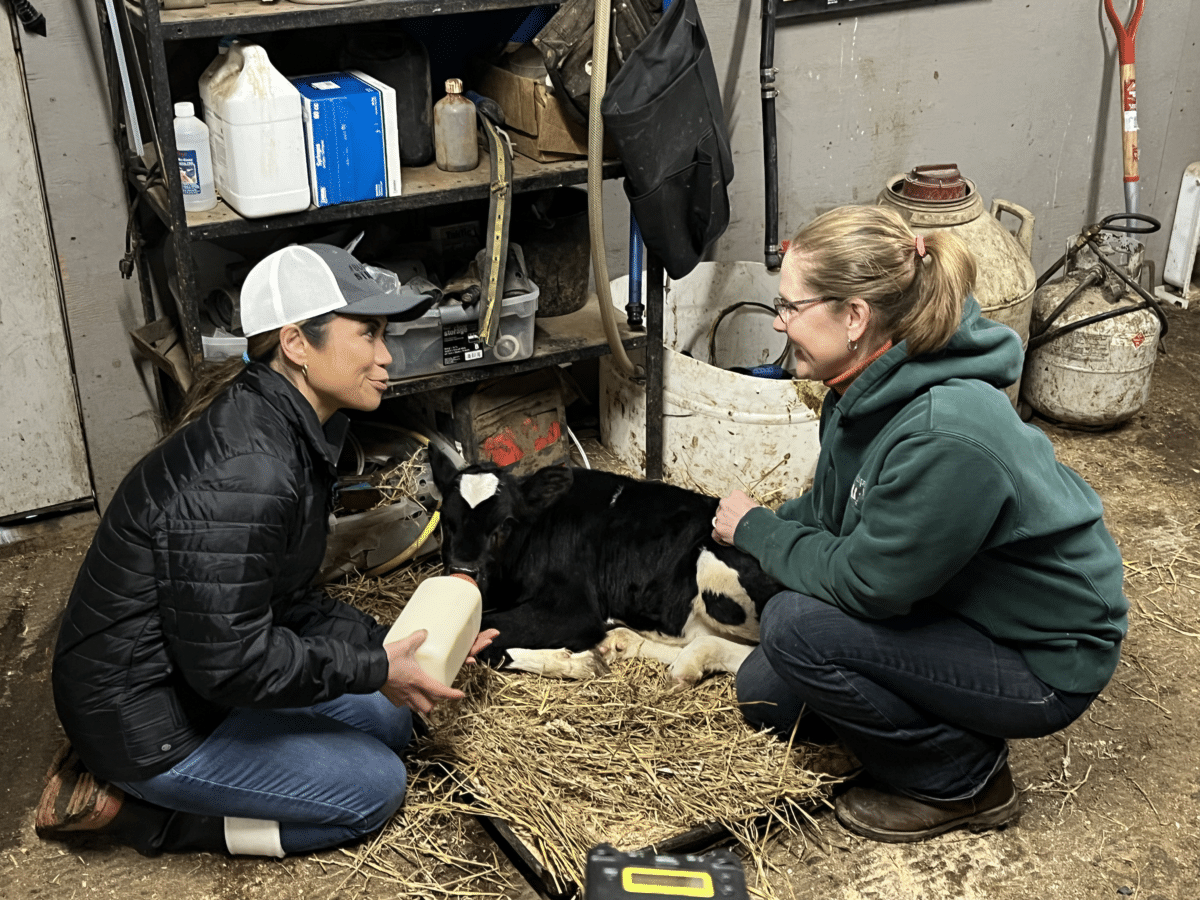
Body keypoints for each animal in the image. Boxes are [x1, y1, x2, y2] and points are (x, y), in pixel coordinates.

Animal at [432, 453, 787, 686]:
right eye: (445, 521)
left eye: (505, 524)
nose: (464, 569)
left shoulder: (572, 611)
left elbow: (485, 634)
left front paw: (577, 663)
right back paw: (622, 643)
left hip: (713, 570)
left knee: (750, 651)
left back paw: (689, 662)